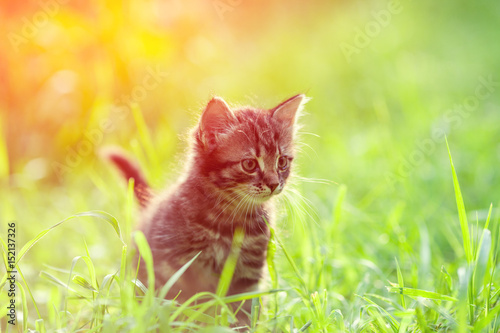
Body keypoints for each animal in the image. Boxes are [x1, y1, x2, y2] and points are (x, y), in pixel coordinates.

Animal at [107, 92, 306, 320]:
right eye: (249, 164)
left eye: (282, 162)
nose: (274, 184)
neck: (229, 219)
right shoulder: (173, 271)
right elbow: (178, 311)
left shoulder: (248, 277)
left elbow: (244, 313)